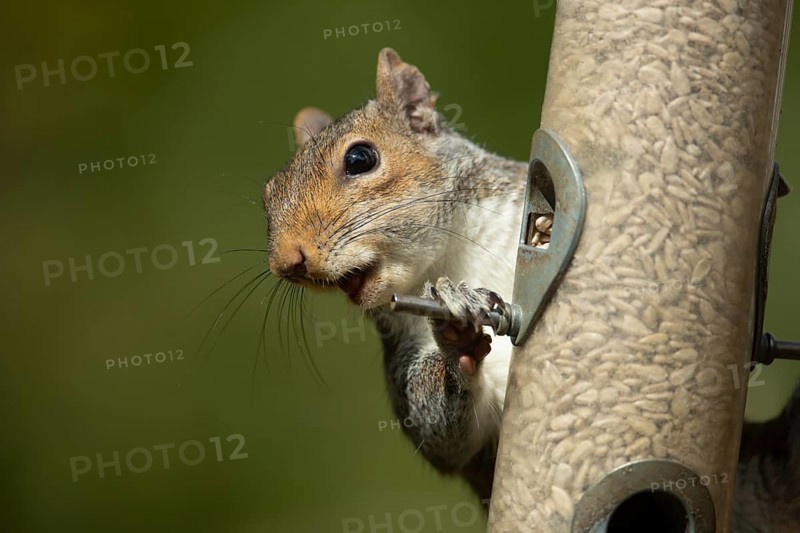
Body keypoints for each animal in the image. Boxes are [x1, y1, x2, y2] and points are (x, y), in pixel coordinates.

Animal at [262, 48, 800, 531]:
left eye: (360, 158)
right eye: (267, 195)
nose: (287, 262)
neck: (452, 253)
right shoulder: (404, 349)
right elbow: (441, 434)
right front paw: (455, 337)